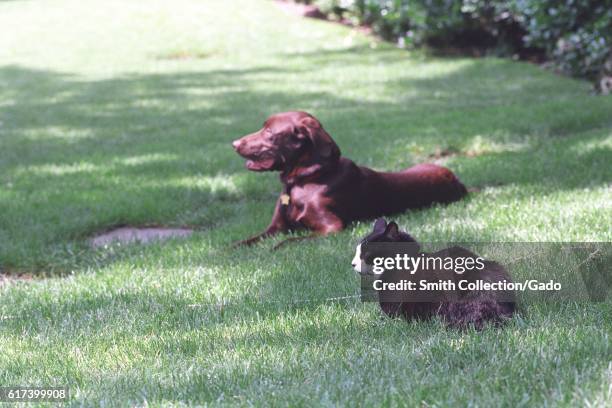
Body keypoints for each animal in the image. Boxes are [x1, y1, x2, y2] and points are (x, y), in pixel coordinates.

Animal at [232, 110, 466, 247]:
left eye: (269, 131)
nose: (234, 143)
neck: (305, 180)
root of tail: (459, 182)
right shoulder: (274, 228)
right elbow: (245, 241)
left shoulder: (332, 227)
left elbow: (291, 240)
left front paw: (277, 246)